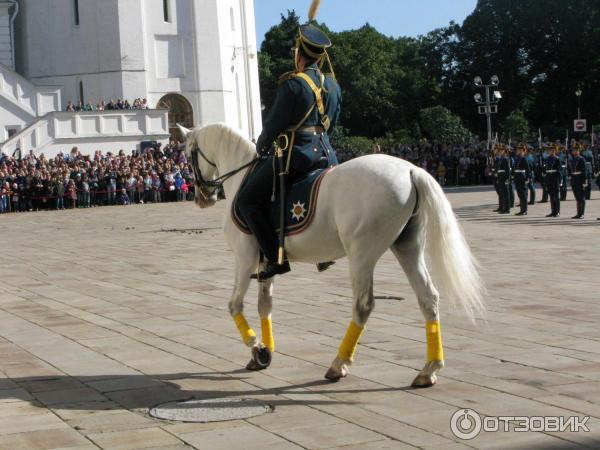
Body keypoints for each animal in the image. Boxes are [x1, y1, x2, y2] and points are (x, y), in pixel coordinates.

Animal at [180, 122, 486, 386]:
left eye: (187, 153)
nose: (202, 198)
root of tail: (411, 170)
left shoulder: (244, 259)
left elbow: (234, 305)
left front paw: (258, 349)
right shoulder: (267, 262)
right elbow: (264, 306)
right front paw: (265, 351)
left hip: (362, 253)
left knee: (363, 305)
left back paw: (338, 364)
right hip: (407, 246)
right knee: (428, 298)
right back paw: (428, 370)